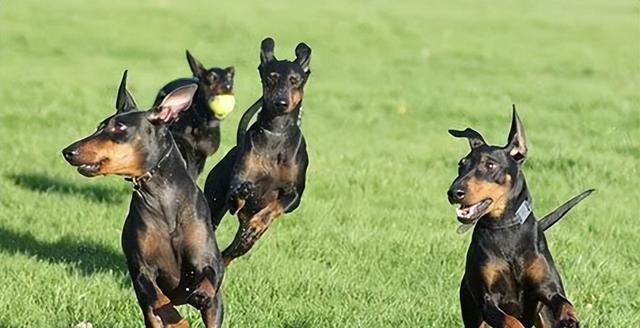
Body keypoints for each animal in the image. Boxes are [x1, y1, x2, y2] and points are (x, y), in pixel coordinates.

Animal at [62, 72, 222, 328]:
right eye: (99, 127)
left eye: (119, 127)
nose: (68, 151)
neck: (163, 198)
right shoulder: (141, 271)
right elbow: (159, 300)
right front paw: (179, 323)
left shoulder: (208, 263)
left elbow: (209, 279)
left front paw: (200, 294)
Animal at [204, 37, 312, 266]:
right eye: (271, 78)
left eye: (294, 80)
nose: (281, 102)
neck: (276, 131)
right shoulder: (237, 182)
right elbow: (236, 195)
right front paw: (242, 193)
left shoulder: (294, 196)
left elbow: (274, 208)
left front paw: (257, 223)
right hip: (213, 204)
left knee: (230, 252)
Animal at [448, 107, 592, 326]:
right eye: (461, 165)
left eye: (490, 165)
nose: (454, 192)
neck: (506, 228)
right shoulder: (488, 301)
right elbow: (510, 321)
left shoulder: (548, 290)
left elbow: (565, 303)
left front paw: (569, 319)